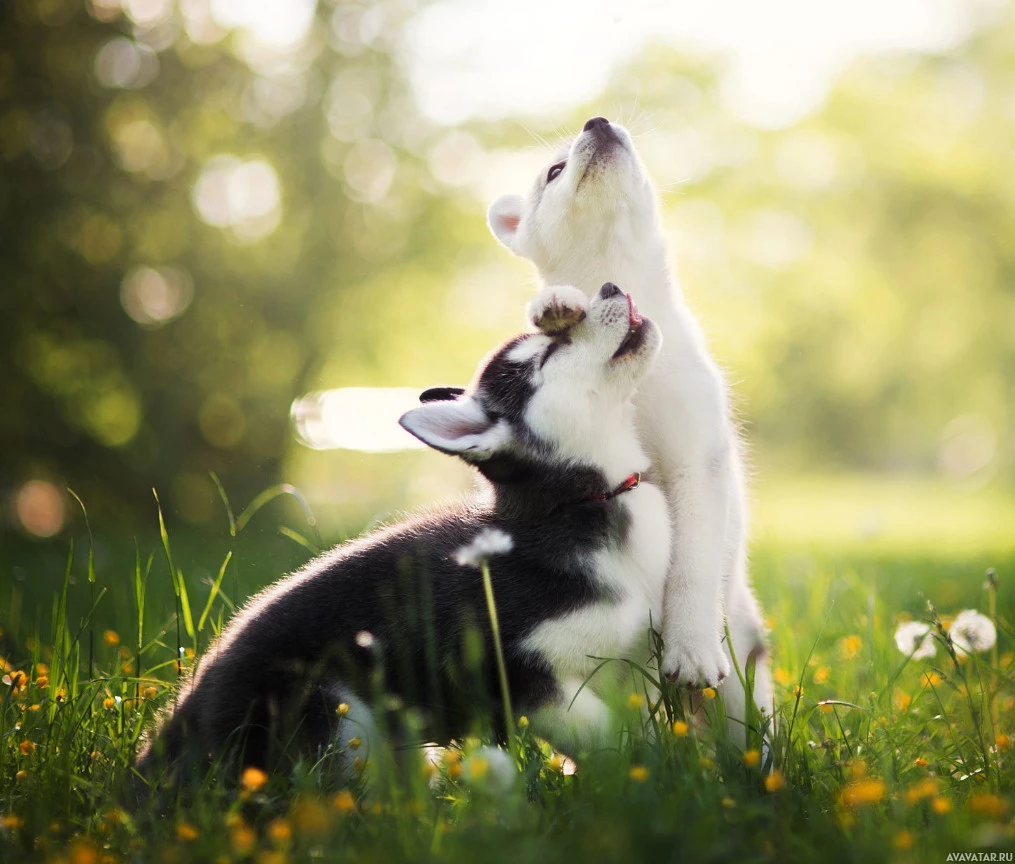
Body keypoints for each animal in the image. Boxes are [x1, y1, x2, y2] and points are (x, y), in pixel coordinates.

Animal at [137, 284, 673, 783]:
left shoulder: (630, 665)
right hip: (333, 713)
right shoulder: (516, 669)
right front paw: (642, 775)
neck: (586, 500)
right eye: (549, 353)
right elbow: (606, 736)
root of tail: (186, 713)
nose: (609, 287)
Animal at [487, 113, 771, 735]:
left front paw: (690, 646)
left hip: (743, 666)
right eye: (553, 170)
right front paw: (557, 303)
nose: (597, 121)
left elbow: (692, 564)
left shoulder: (697, 462)